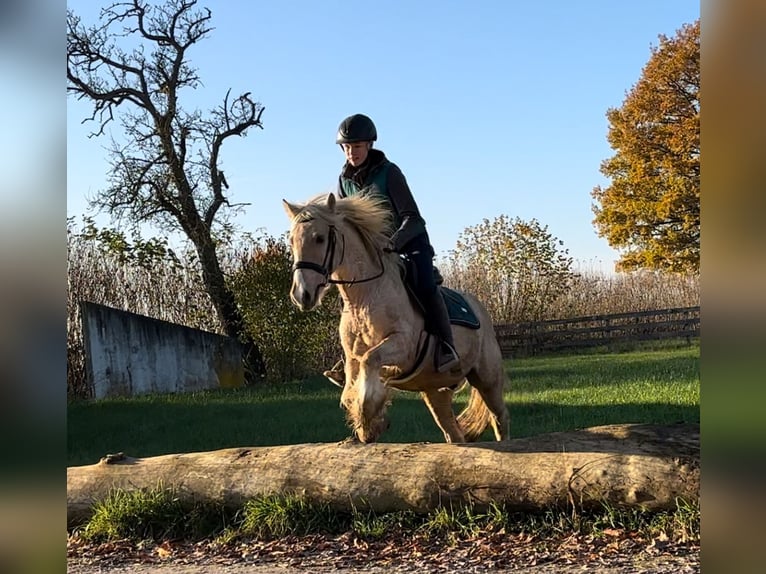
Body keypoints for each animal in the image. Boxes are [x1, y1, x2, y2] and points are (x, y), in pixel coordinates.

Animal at [282, 194, 510, 446]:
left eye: (320, 238)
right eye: (291, 241)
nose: (302, 295)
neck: (364, 298)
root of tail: (479, 308)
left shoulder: (403, 347)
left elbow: (370, 361)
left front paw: (371, 419)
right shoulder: (351, 358)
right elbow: (352, 387)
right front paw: (366, 424)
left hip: (487, 378)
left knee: (499, 417)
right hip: (435, 391)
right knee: (454, 432)